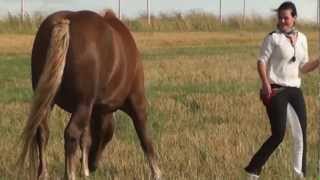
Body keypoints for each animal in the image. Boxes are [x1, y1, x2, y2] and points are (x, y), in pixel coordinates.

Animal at [17, 10, 161, 180]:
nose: (93, 165)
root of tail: (65, 22)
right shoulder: (136, 102)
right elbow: (145, 137)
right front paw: (157, 172)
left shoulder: (89, 109)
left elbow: (85, 138)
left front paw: (84, 170)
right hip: (83, 104)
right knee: (71, 134)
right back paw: (70, 174)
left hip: (51, 102)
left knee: (42, 132)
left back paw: (44, 174)